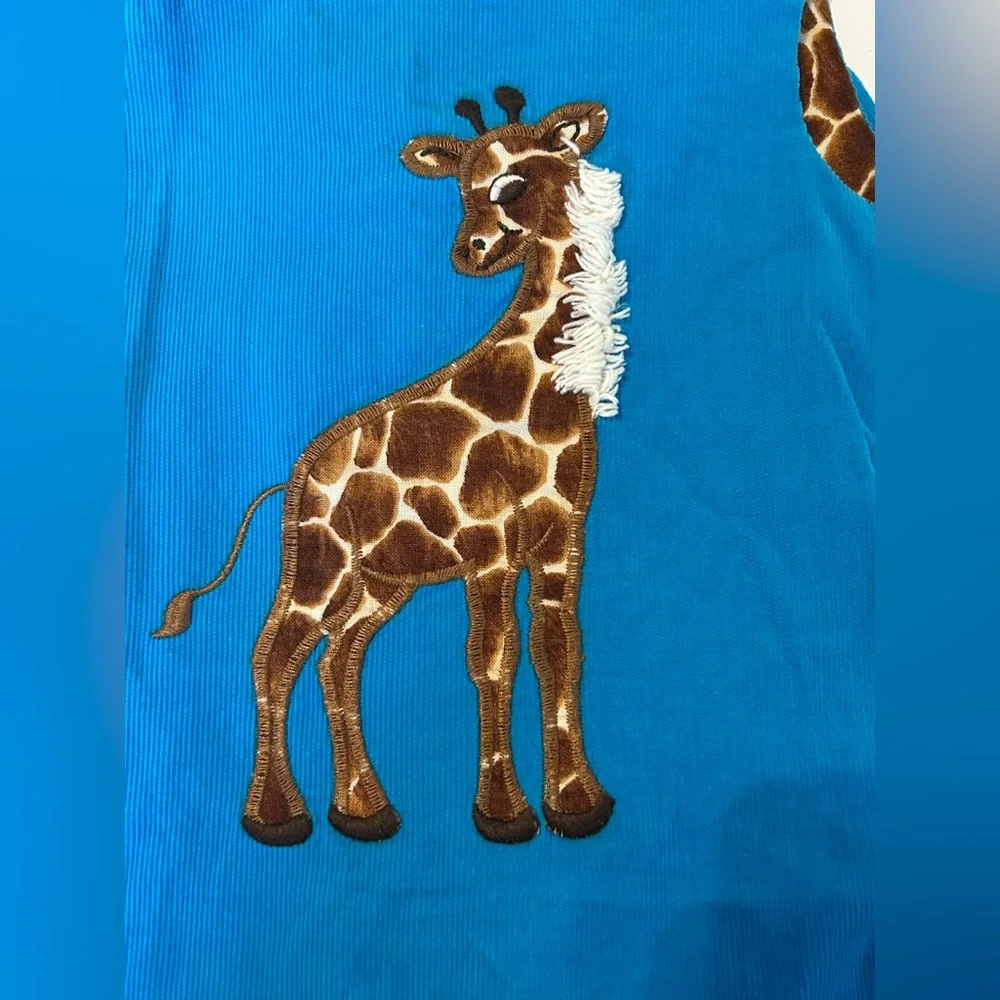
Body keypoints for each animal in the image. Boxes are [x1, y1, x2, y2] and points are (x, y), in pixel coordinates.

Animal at [154, 87, 627, 847]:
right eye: (463, 188)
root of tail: (294, 478)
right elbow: (491, 659)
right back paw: (278, 818)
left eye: (511, 184)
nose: (469, 254)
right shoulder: (488, 545)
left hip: (382, 582)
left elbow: (561, 651)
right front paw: (503, 814)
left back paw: (363, 812)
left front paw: (577, 803)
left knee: (337, 658)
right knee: (273, 653)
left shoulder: (562, 539)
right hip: (318, 560)